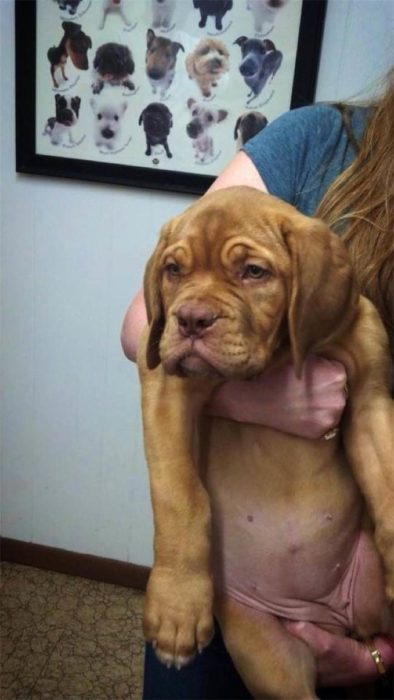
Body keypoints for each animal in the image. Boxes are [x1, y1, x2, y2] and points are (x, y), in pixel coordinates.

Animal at [137, 187, 392, 700]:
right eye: (173, 270)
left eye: (254, 272)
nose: (190, 319)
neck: (277, 358)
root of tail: (332, 617)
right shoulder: (164, 387)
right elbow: (181, 497)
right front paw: (177, 606)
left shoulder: (372, 401)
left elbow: (389, 483)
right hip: (271, 657)